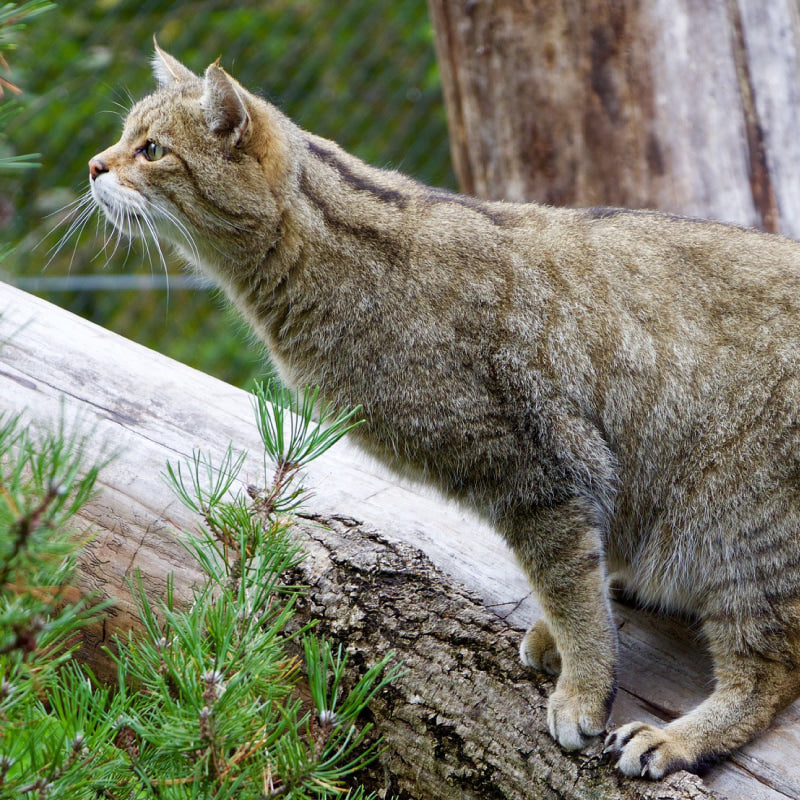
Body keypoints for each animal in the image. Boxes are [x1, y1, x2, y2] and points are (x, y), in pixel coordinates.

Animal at [86, 45, 800, 780]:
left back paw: (679, 736)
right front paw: (567, 636)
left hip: (741, 524)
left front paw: (582, 686)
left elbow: (568, 587)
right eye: (125, 138)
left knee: (768, 673)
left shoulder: (538, 472)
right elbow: (576, 580)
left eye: (151, 149)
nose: (93, 165)